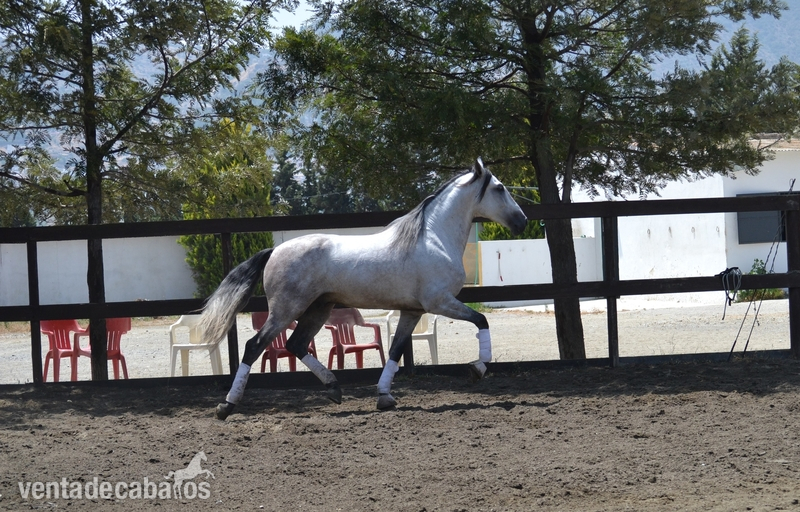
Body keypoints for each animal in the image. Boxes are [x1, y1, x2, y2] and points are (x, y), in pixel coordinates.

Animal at [200, 158, 527, 420]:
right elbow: (481, 321)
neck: (434, 238)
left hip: (318, 309)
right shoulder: (440, 302)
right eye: (500, 188)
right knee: (254, 346)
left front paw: (385, 397)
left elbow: (395, 350)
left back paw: (334, 389)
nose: (522, 221)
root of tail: (274, 250)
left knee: (295, 344)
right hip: (285, 309)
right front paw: (477, 369)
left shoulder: (412, 311)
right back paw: (226, 406)